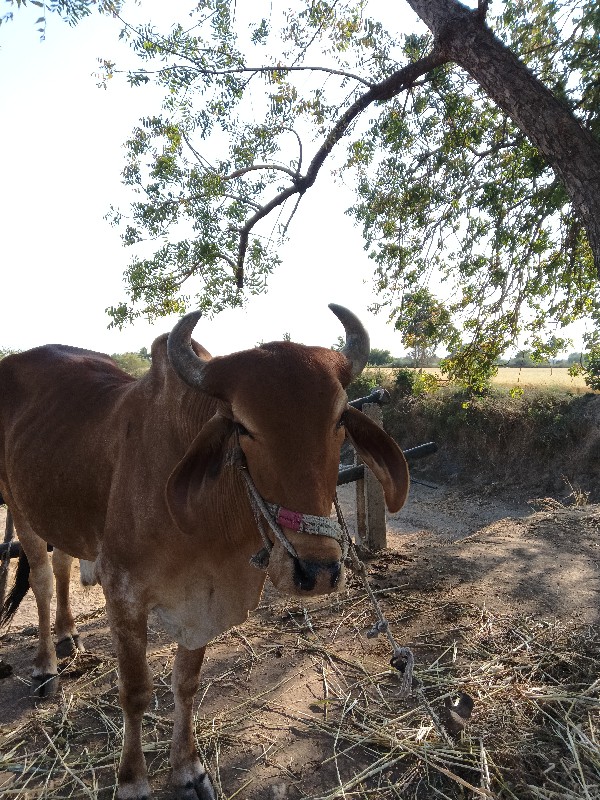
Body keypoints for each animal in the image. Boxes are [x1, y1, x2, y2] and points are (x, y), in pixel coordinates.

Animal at [0, 304, 408, 796]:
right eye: (244, 428)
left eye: (338, 420)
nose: (318, 570)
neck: (208, 529)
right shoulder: (123, 592)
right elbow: (135, 692)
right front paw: (133, 780)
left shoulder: (203, 600)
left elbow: (187, 684)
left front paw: (187, 769)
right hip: (18, 504)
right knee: (41, 578)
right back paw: (45, 666)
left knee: (61, 563)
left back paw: (67, 635)